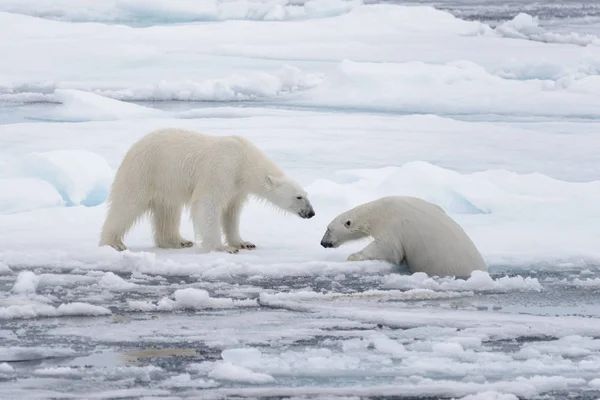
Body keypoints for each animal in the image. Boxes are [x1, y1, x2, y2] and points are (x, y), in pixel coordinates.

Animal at [98, 128, 314, 253]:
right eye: (298, 197)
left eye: (306, 195)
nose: (311, 213)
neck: (243, 161)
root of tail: (132, 148)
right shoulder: (221, 170)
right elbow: (208, 204)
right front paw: (222, 248)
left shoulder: (237, 187)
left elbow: (231, 213)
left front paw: (244, 243)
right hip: (145, 171)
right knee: (127, 204)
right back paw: (114, 242)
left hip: (166, 184)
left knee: (168, 211)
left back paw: (178, 241)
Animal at [318, 195, 488, 276]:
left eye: (328, 229)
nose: (323, 243)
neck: (378, 211)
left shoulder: (393, 224)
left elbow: (388, 249)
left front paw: (353, 256)